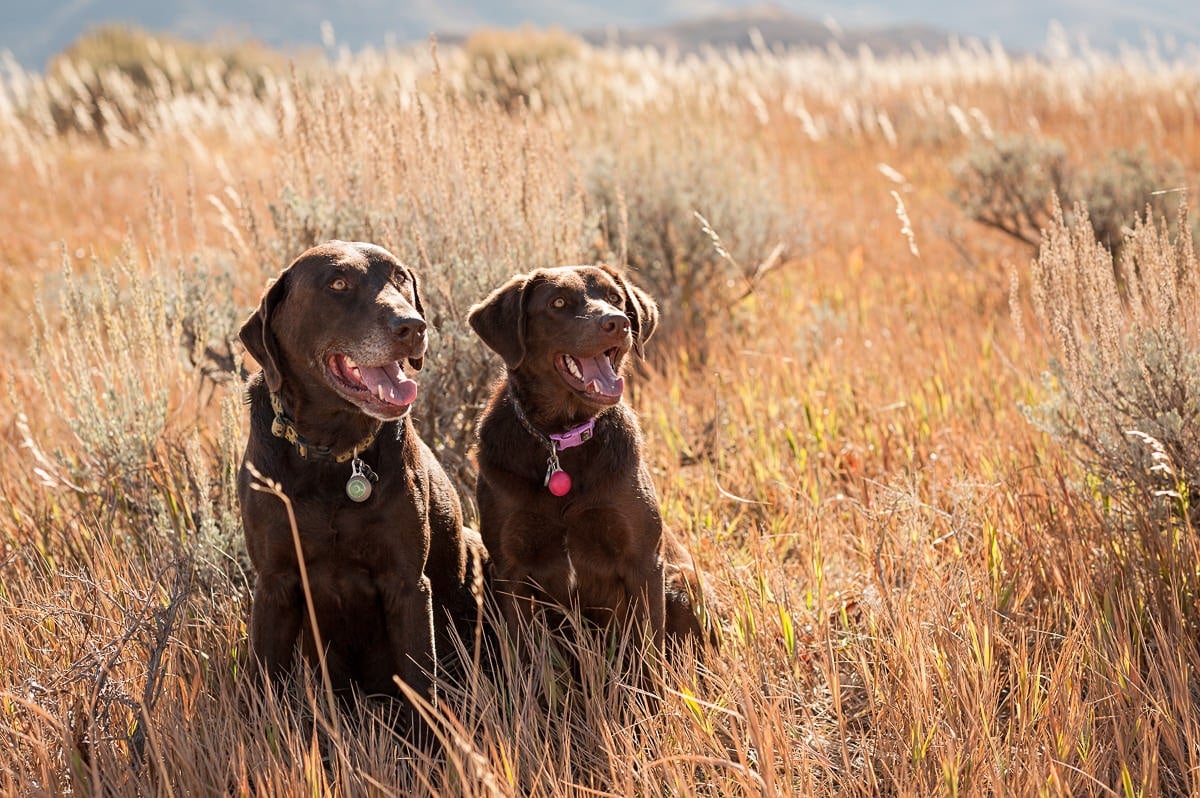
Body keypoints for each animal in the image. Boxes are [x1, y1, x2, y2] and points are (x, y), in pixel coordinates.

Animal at [236, 240, 480, 705]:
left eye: (400, 277)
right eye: (337, 284)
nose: (413, 326)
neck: (333, 452)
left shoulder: (407, 584)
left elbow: (420, 683)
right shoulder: (274, 583)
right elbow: (263, 684)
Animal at [468, 264, 710, 657]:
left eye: (615, 298)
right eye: (558, 302)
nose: (617, 323)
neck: (562, 439)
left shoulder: (644, 560)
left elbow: (649, 651)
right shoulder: (509, 568)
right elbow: (523, 656)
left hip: (683, 583)